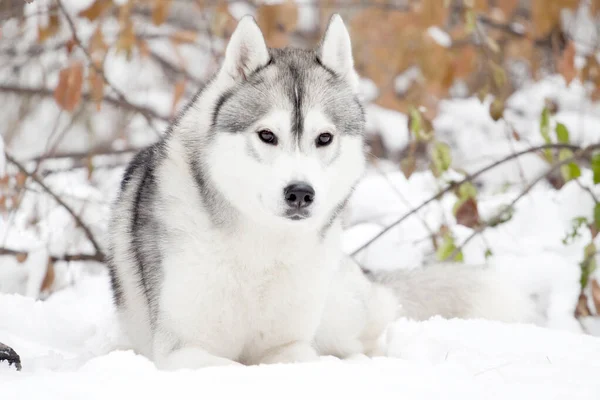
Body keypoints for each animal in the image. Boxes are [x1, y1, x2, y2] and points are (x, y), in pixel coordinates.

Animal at [105, 14, 532, 370]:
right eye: (267, 135)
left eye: (324, 138)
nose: (300, 193)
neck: (262, 250)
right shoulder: (183, 351)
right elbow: (232, 367)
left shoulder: (289, 347)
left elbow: (303, 360)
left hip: (337, 308)